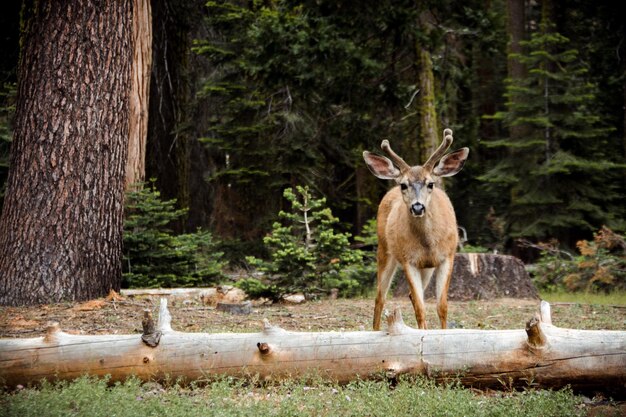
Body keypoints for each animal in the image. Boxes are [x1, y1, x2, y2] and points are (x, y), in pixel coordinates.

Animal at [360, 128, 468, 330]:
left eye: (430, 183)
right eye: (404, 185)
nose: (418, 207)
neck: (428, 243)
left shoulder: (447, 256)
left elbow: (442, 307)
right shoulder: (408, 260)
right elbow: (420, 309)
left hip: (426, 268)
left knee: (408, 296)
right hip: (384, 250)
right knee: (380, 298)